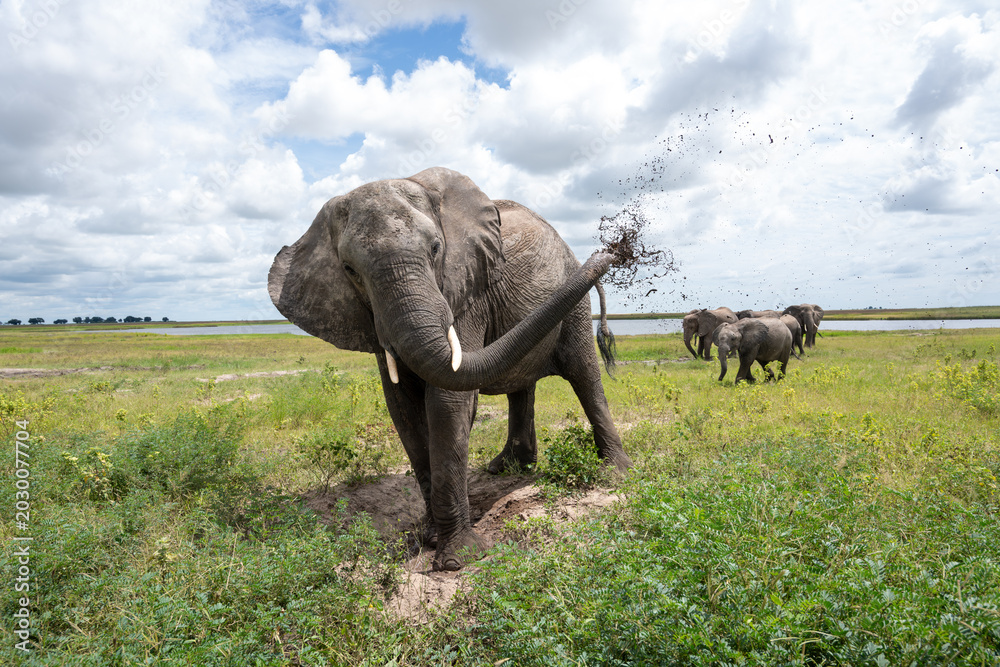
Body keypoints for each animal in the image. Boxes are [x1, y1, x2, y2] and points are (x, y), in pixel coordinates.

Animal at [268, 167, 631, 571]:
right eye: (349, 270)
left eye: (435, 250)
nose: (613, 251)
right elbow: (403, 408)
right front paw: (430, 538)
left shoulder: (468, 291)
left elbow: (447, 402)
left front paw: (457, 559)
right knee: (522, 384)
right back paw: (509, 469)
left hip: (575, 304)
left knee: (585, 375)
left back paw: (615, 473)